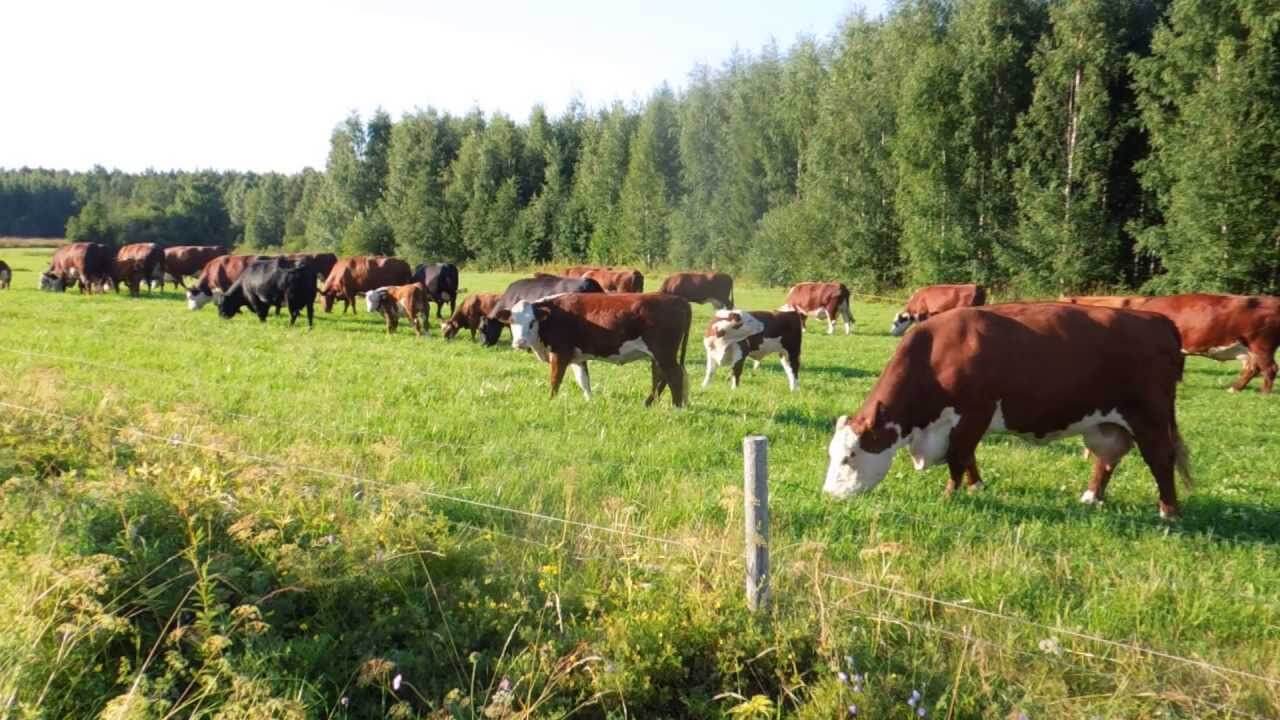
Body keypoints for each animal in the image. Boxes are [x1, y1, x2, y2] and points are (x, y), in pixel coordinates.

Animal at [504, 289, 696, 404]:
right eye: (511, 321)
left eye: (532, 322)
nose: (519, 343)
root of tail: (679, 299)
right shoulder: (577, 356)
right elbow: (583, 380)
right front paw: (590, 402)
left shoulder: (560, 352)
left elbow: (555, 380)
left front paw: (551, 401)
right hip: (657, 356)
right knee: (660, 378)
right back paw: (648, 404)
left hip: (664, 352)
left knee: (674, 376)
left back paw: (676, 407)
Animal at [824, 301, 1192, 515]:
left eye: (849, 457)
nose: (829, 494)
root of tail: (1158, 320)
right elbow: (970, 457)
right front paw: (976, 486)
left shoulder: (973, 414)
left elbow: (959, 457)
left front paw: (949, 496)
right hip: (1106, 423)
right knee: (1109, 455)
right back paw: (1092, 497)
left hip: (1149, 417)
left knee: (1160, 459)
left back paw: (1168, 512)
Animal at [1059, 292, 1280, 392]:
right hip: (1249, 347)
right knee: (1252, 368)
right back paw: (1235, 388)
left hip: (1261, 345)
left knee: (1269, 368)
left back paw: (1264, 393)